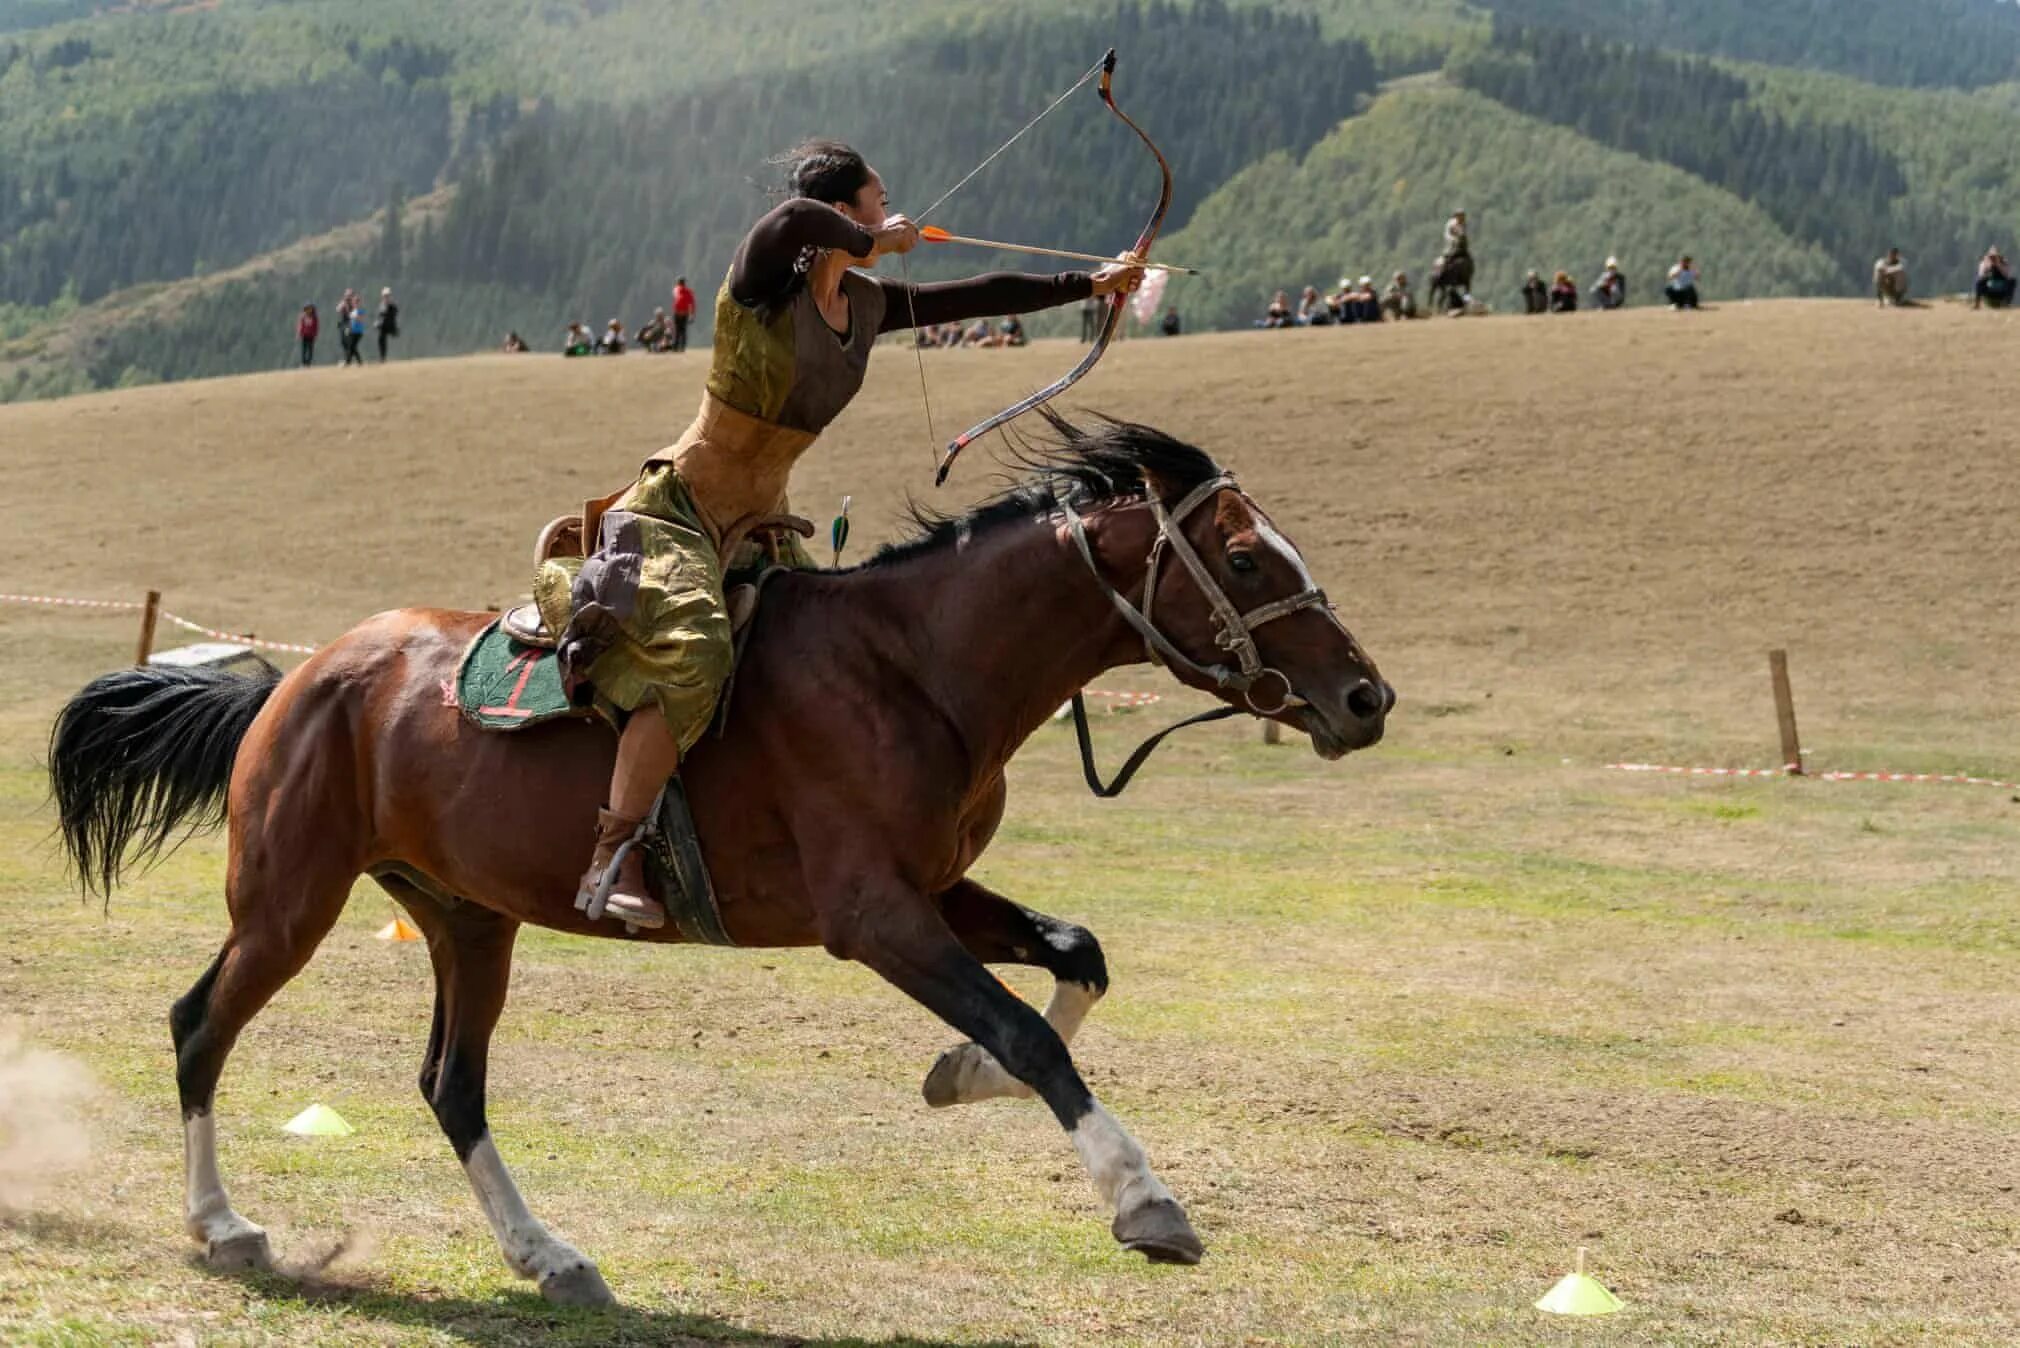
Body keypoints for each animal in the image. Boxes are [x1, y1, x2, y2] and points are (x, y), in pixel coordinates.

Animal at [47, 418, 1389, 1309]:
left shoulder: (935, 891)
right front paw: (1142, 1199)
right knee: (199, 1025)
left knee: (449, 1084)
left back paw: (548, 1254)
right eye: (1248, 560)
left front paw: (956, 1075)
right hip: (291, 901)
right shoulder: (874, 915)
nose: (1365, 697)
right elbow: (1029, 1031)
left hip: (470, 920)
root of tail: (297, 681)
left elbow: (1074, 961)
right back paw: (224, 1225)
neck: (914, 667)